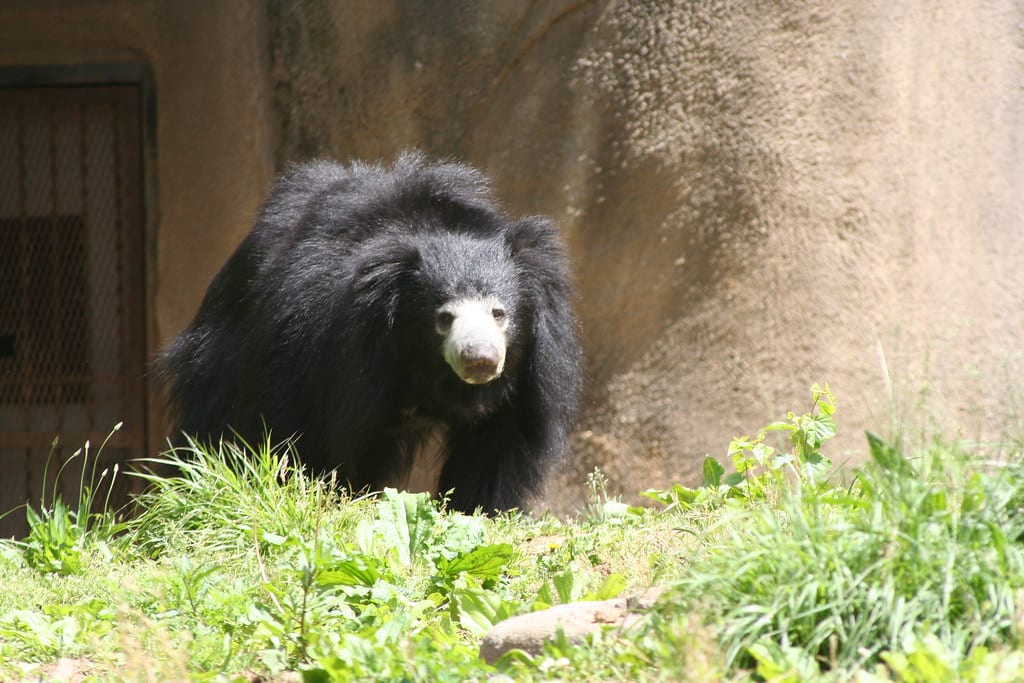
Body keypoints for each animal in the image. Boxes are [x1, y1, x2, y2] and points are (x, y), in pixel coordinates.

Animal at [159, 152, 582, 514]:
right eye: (444, 318)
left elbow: (496, 442)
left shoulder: (528, 372)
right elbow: (322, 436)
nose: (480, 359)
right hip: (228, 351)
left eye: (499, 313)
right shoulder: (342, 356)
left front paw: (475, 510)